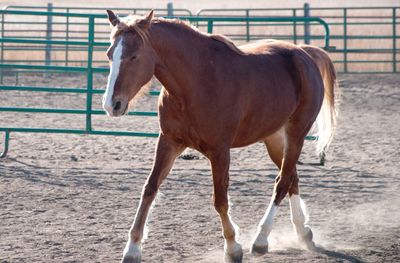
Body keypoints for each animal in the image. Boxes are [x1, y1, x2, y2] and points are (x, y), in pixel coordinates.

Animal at [103, 10, 338, 263]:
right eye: (109, 54)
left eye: (134, 56)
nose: (111, 104)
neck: (197, 82)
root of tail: (304, 53)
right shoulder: (168, 142)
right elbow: (149, 189)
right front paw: (132, 249)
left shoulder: (219, 151)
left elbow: (220, 200)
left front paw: (233, 247)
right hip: (275, 140)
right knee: (292, 178)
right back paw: (303, 233)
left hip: (296, 134)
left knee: (283, 182)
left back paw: (261, 239)